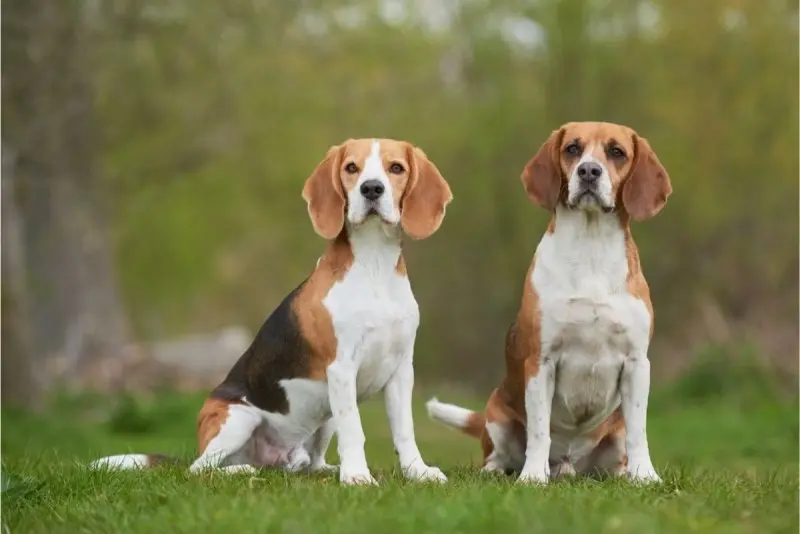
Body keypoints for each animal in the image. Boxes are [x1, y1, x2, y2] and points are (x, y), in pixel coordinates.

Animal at [91, 139, 454, 490]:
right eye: (352, 168)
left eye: (396, 168)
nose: (372, 189)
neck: (374, 263)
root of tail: (275, 460)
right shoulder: (341, 369)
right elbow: (355, 430)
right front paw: (357, 477)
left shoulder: (401, 370)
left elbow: (405, 430)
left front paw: (418, 472)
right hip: (240, 418)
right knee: (199, 470)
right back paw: (241, 471)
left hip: (324, 417)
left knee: (312, 463)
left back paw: (323, 470)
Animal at [428, 123, 672, 488]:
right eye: (573, 148)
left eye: (616, 152)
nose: (589, 171)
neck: (590, 246)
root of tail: (569, 466)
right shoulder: (540, 361)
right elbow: (540, 430)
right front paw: (532, 476)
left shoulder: (636, 363)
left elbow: (639, 432)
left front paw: (645, 475)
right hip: (497, 417)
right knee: (499, 455)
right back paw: (505, 471)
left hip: (612, 436)